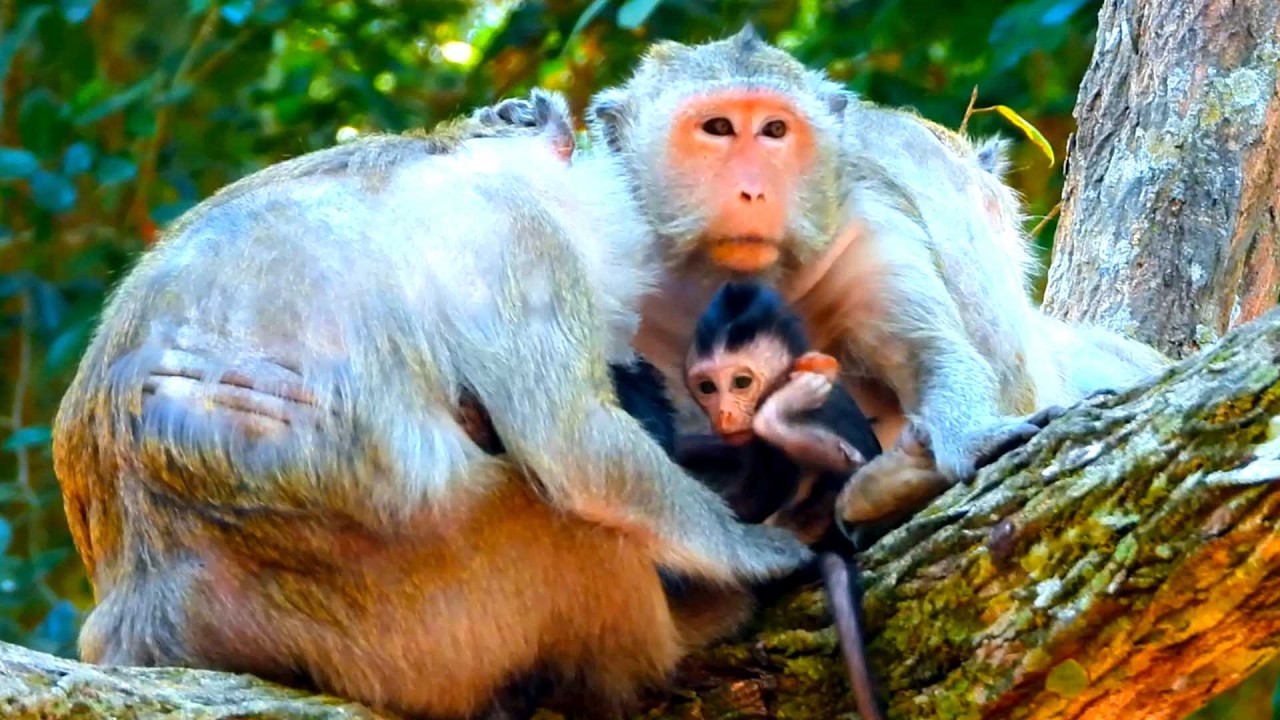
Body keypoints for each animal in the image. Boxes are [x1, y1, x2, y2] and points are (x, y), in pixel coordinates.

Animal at [51, 88, 813, 720]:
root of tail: (146, 610)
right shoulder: (513, 230)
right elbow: (574, 444)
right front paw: (753, 551)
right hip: (441, 612)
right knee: (572, 520)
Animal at [573, 26, 1169, 524]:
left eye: (774, 130)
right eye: (717, 128)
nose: (753, 191)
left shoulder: (867, 238)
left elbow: (929, 353)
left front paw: (976, 437)